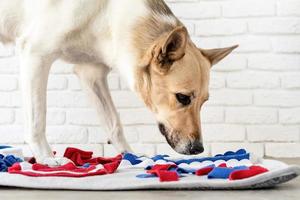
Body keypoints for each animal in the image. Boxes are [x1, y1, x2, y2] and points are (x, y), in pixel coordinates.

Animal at [0, 0, 238, 166]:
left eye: (204, 102)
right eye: (182, 97)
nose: (198, 149)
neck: (106, 14)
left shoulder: (91, 74)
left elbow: (114, 122)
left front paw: (130, 155)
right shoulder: (36, 55)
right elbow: (37, 119)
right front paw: (47, 158)